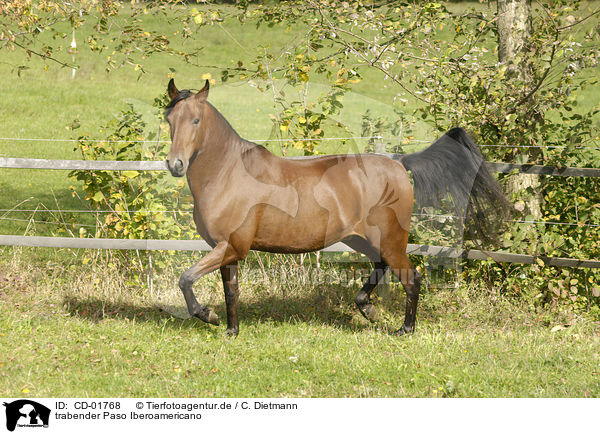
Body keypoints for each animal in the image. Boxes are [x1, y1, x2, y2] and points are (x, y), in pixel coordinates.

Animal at [164, 78, 506, 336]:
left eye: (196, 120)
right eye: (169, 120)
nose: (175, 165)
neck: (228, 173)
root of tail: (398, 164)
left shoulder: (232, 246)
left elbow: (186, 279)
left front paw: (206, 314)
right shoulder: (227, 249)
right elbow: (230, 291)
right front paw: (230, 330)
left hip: (391, 240)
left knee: (412, 278)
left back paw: (405, 329)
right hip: (363, 238)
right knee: (381, 266)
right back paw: (366, 307)